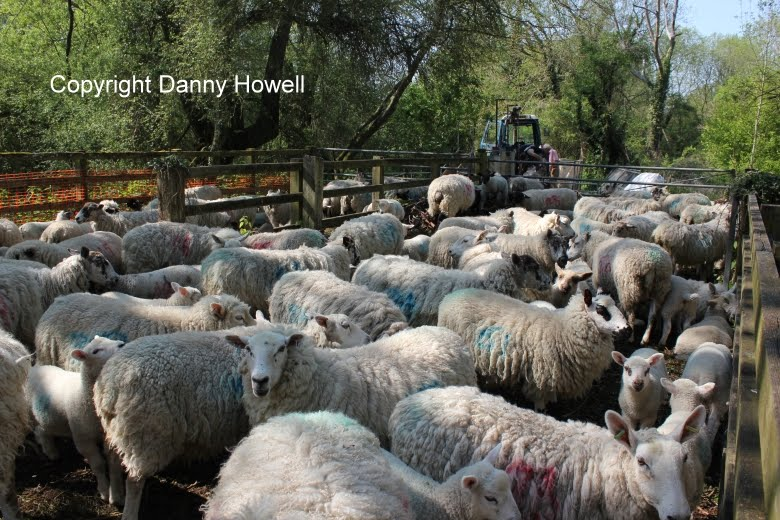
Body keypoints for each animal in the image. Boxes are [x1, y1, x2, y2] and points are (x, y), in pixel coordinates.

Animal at [27, 336, 125, 504]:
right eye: (95, 351)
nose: (121, 344)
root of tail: (34, 368)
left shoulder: (110, 437)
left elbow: (113, 466)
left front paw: (116, 494)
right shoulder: (83, 438)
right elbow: (98, 465)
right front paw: (104, 491)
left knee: (42, 430)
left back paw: (52, 452)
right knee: (37, 431)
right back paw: (49, 451)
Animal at [93, 323, 274, 520]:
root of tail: (110, 385)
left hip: (118, 429)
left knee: (112, 458)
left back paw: (116, 497)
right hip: (147, 433)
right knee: (135, 480)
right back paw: (129, 513)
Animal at [437, 288, 627, 409]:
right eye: (601, 310)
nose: (626, 328)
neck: (562, 329)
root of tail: (449, 297)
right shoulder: (541, 378)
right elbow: (540, 405)